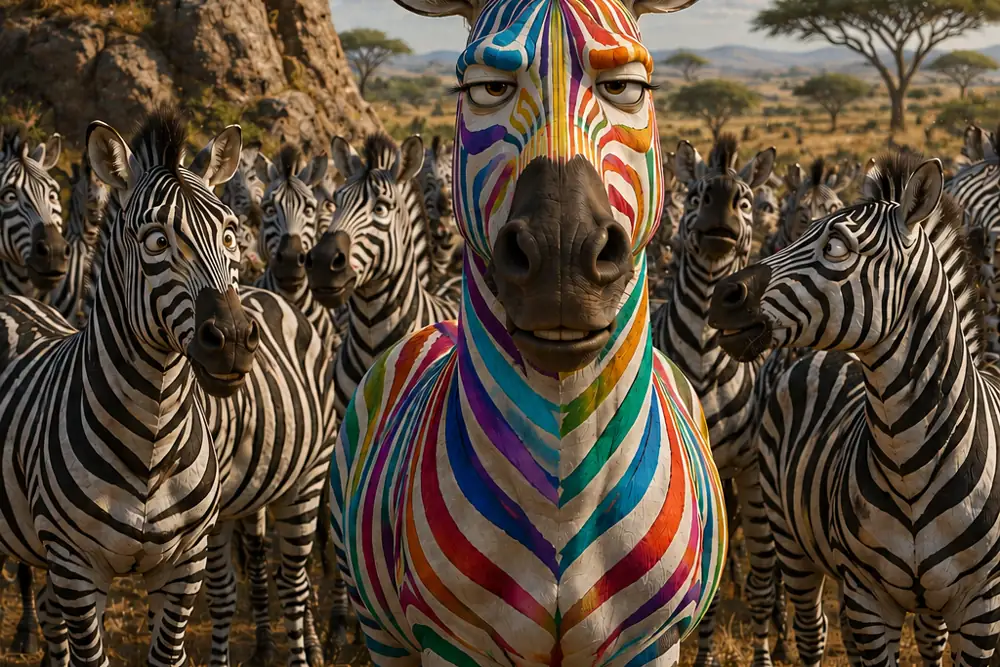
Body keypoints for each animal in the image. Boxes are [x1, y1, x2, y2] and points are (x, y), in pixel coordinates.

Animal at [0, 110, 259, 667]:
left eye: (230, 234)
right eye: (156, 242)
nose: (232, 340)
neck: (153, 441)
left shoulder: (185, 567)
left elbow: (168, 654)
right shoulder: (77, 568)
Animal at [330, 0, 725, 663]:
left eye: (627, 88)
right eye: (487, 88)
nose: (562, 260)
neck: (565, 494)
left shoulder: (654, 642)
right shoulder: (449, 642)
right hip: (378, 626)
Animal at [709, 150, 1000, 667]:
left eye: (837, 247)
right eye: (799, 228)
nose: (723, 298)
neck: (908, 465)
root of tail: (822, 355)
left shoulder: (980, 607)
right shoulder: (868, 599)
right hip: (790, 539)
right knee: (812, 631)